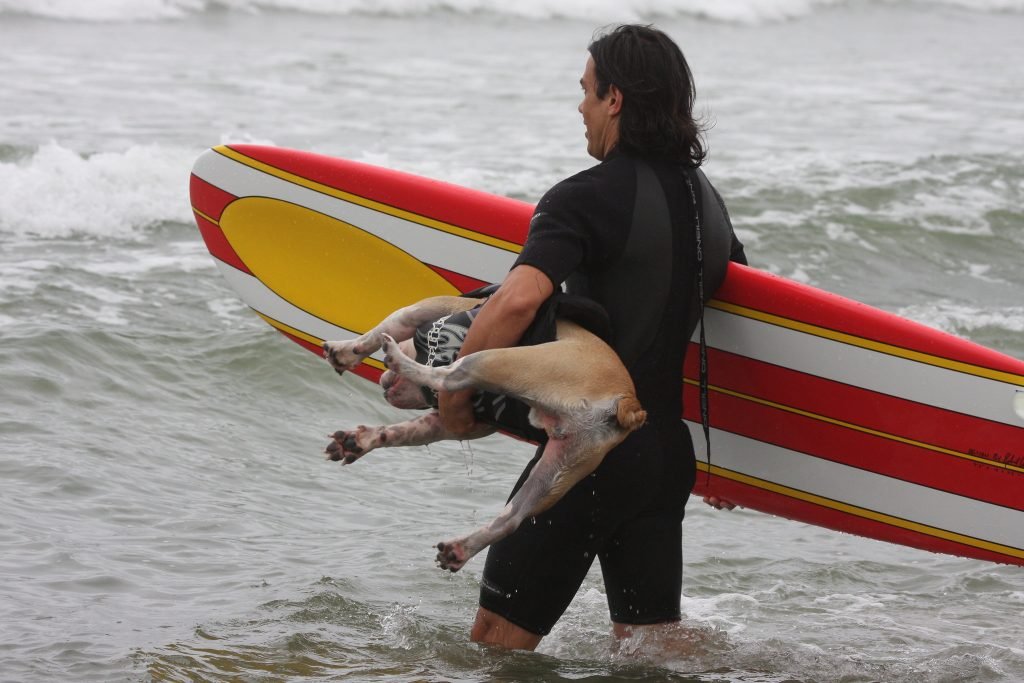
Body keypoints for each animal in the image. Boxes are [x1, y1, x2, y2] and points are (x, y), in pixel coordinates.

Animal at [323, 294, 643, 573]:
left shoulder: (431, 307)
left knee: (451, 375)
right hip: (561, 468)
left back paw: (399, 358)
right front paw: (359, 441)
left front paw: (345, 350)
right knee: (513, 518)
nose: (383, 381)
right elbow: (401, 432)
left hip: (500, 360)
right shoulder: (454, 422)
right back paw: (461, 547)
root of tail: (627, 403)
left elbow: (388, 324)